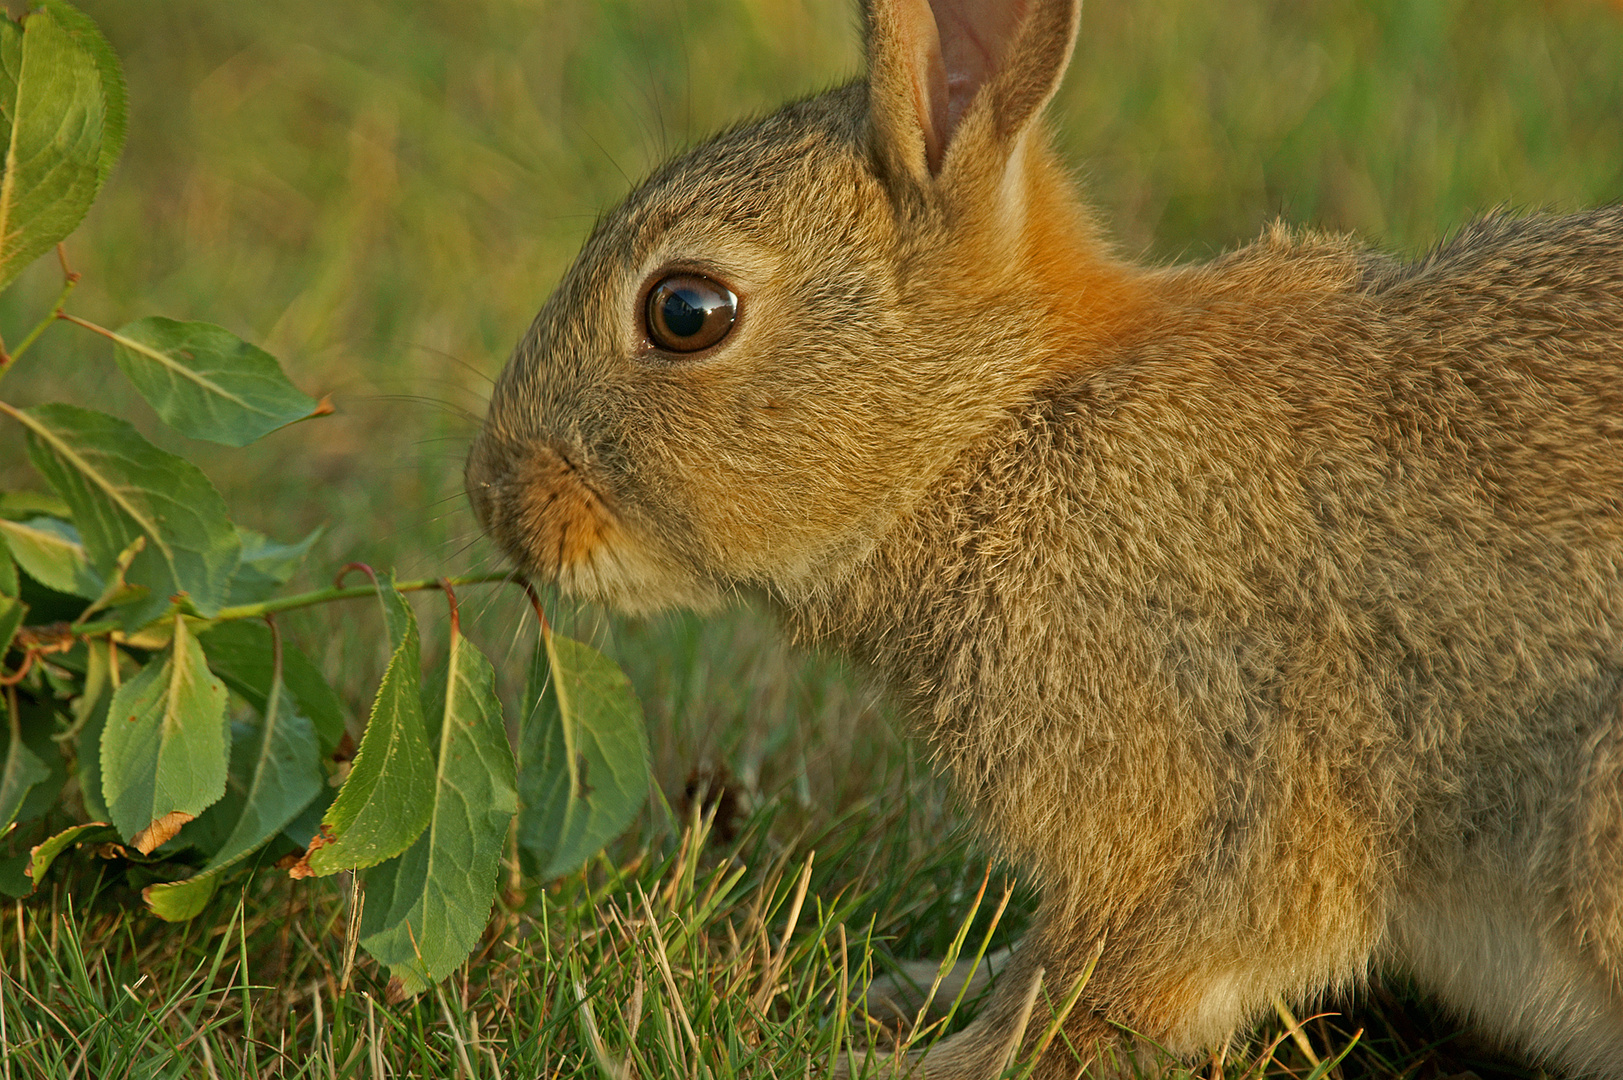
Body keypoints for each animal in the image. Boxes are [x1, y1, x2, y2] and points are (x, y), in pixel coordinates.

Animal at [460, 0, 1623, 1071]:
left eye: (685, 311)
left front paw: (901, 1062)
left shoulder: (1193, 797)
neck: (987, 430)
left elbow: (1097, 988)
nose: (495, 497)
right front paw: (911, 993)